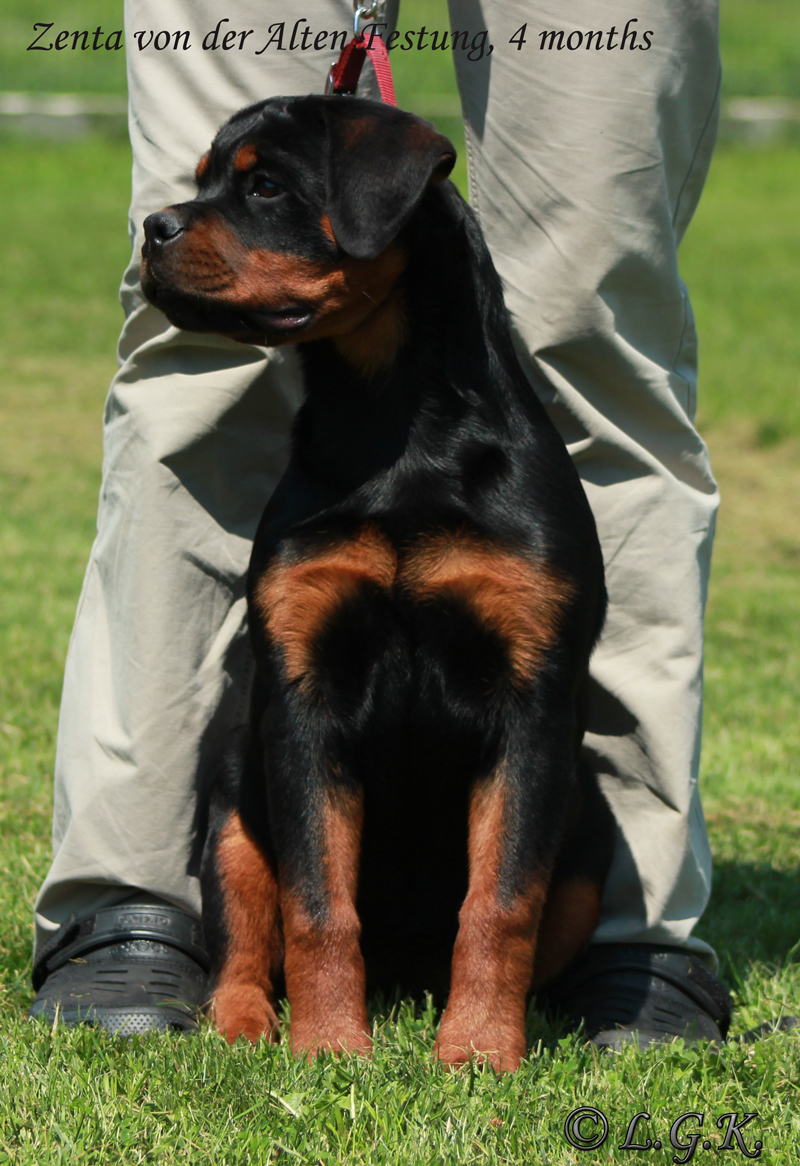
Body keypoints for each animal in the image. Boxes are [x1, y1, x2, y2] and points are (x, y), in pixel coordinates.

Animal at [139, 95, 615, 1068]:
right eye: (202, 178)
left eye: (265, 186)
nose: (151, 227)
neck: (395, 425)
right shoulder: (303, 698)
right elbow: (317, 902)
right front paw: (327, 1049)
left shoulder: (532, 704)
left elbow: (501, 902)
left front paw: (477, 1053)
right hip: (233, 793)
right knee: (242, 937)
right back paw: (241, 1025)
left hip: (591, 826)